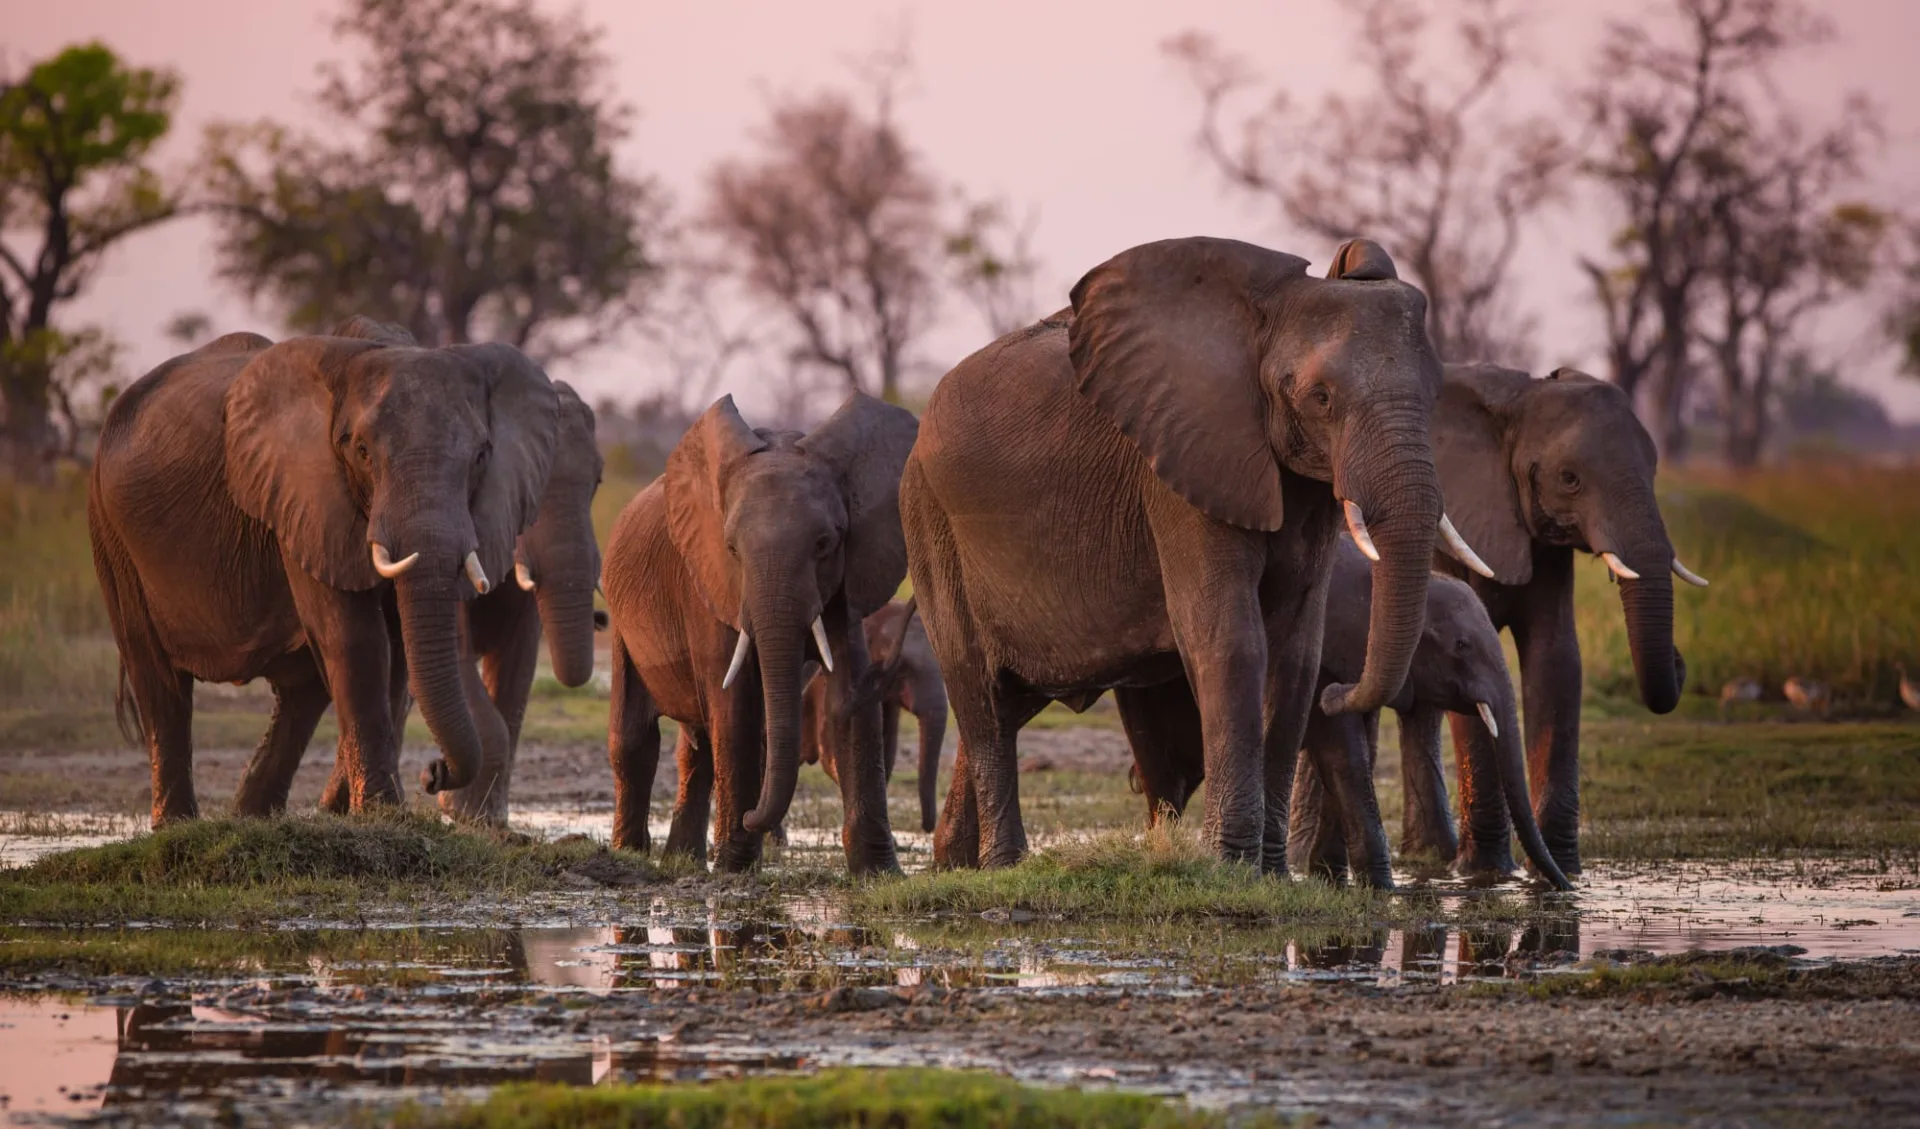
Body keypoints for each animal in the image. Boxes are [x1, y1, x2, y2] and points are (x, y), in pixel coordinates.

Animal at [91, 322, 556, 825]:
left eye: (482, 456)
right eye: (363, 452)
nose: (433, 774)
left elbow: (397, 650)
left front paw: (367, 814)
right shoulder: (300, 496)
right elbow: (357, 639)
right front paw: (381, 811)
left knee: (301, 691)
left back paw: (255, 817)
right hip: (111, 534)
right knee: (157, 677)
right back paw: (177, 824)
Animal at [606, 391, 921, 879]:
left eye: (824, 544)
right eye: (732, 548)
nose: (756, 816)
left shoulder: (847, 583)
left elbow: (847, 690)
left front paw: (879, 873)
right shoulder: (707, 585)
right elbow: (734, 708)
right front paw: (734, 867)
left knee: (697, 748)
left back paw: (684, 859)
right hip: (623, 624)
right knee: (635, 738)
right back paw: (632, 854)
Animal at [902, 236, 1497, 871]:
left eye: (1436, 397)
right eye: (1321, 397)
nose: (1340, 695)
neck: (1264, 317)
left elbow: (1294, 654)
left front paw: (1270, 873)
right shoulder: (1176, 467)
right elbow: (1232, 641)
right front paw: (1230, 866)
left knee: (1008, 703)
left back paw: (952, 865)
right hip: (930, 522)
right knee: (981, 697)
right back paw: (1004, 864)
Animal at [1428, 360, 1712, 871]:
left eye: (1655, 468)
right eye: (1569, 478)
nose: (1681, 661)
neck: (1519, 398)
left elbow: (1556, 659)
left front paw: (1562, 871)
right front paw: (1485, 875)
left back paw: (1428, 852)